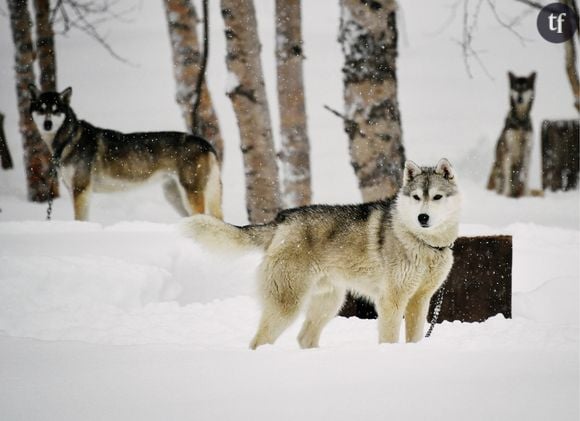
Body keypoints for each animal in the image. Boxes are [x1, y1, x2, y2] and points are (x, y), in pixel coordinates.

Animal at [27, 86, 223, 223]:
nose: (47, 124)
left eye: (56, 110)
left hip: (191, 193)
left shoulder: (81, 189)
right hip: (174, 196)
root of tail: (205, 143)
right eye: (41, 109)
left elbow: (79, 219)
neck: (68, 139)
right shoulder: (74, 190)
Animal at [182, 158, 462, 348]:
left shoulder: (420, 300)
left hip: (329, 303)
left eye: (437, 197)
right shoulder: (391, 300)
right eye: (416, 197)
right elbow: (390, 338)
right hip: (289, 306)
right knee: (259, 341)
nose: (422, 217)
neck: (423, 243)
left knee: (304, 338)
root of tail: (281, 219)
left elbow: (415, 338)